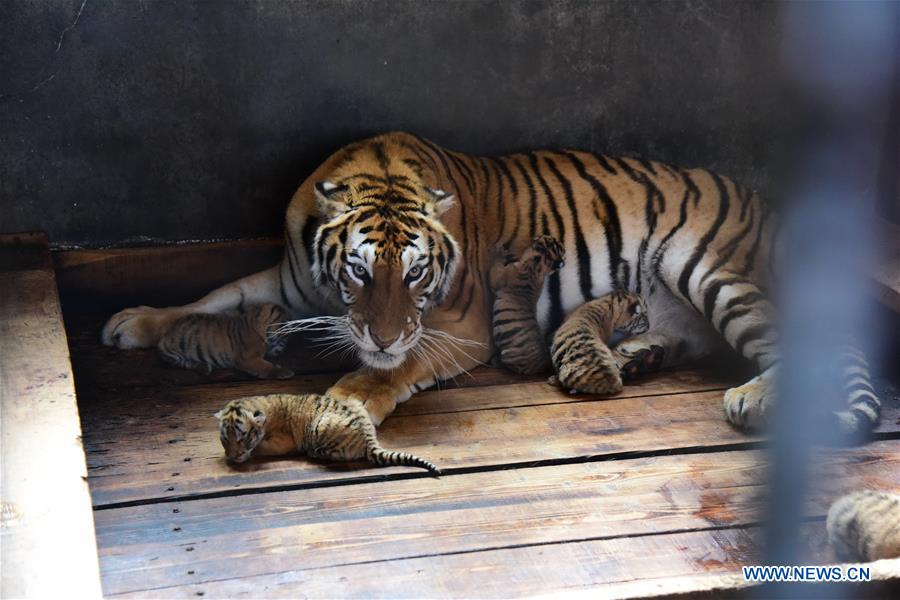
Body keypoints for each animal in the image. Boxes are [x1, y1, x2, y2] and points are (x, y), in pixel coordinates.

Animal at [157, 303, 293, 379]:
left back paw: (204, 367)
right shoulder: (248, 358)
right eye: (284, 321)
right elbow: (265, 366)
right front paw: (283, 372)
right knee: (182, 363)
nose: (290, 332)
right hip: (174, 351)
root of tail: (165, 334)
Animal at [214, 394, 440, 474]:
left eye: (243, 436)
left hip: (320, 427)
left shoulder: (282, 441)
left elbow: (259, 448)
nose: (232, 456)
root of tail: (369, 437)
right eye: (225, 438)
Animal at [488, 235, 564, 374]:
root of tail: (545, 364)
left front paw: (499, 251)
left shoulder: (499, 277)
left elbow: (495, 265)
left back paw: (495, 361)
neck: (538, 266)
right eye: (557, 242)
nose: (537, 235)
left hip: (510, 355)